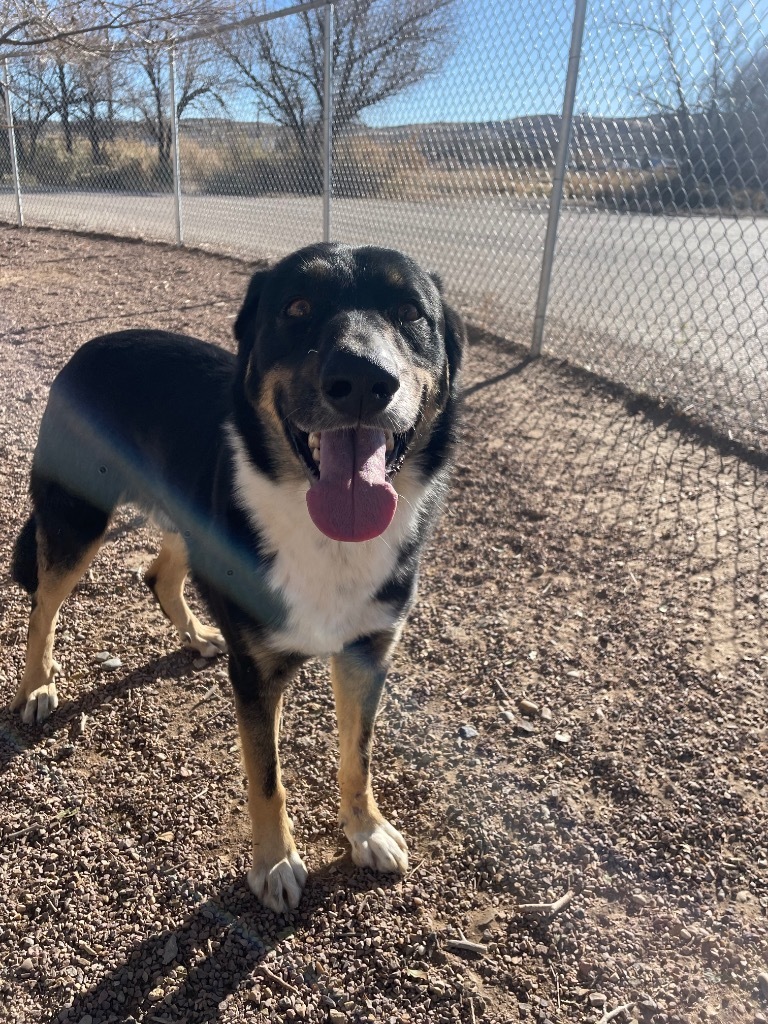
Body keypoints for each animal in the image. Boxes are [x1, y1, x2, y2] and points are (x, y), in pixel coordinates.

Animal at [9, 241, 466, 913]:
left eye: (410, 312)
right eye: (297, 306)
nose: (363, 381)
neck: (323, 530)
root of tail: (92, 346)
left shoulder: (366, 653)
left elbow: (357, 756)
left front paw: (366, 831)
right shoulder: (256, 675)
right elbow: (266, 777)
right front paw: (274, 864)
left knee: (157, 573)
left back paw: (197, 635)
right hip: (77, 517)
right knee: (44, 602)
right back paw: (38, 684)